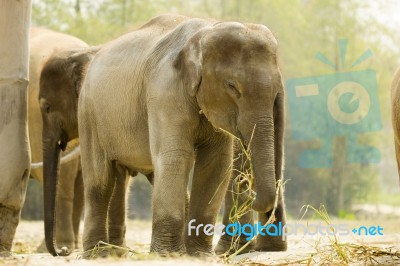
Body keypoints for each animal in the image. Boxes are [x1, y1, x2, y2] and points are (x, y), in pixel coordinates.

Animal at [76, 14, 286, 256]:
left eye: (276, 90)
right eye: (232, 87)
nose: (248, 187)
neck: (207, 29)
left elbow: (216, 163)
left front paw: (199, 255)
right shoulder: (164, 90)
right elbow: (176, 156)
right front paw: (167, 255)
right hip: (88, 114)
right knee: (100, 180)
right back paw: (97, 253)